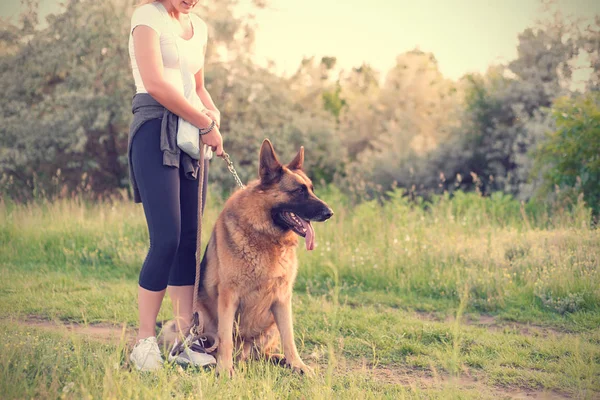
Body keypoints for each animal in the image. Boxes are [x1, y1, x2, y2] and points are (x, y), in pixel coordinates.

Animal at [197, 139, 332, 376]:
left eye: (311, 190)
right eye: (299, 191)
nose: (329, 212)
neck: (266, 237)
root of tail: (244, 353)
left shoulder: (282, 298)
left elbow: (289, 337)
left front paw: (298, 365)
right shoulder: (228, 297)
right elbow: (225, 338)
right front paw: (225, 369)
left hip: (269, 325)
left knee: (262, 352)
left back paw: (279, 359)